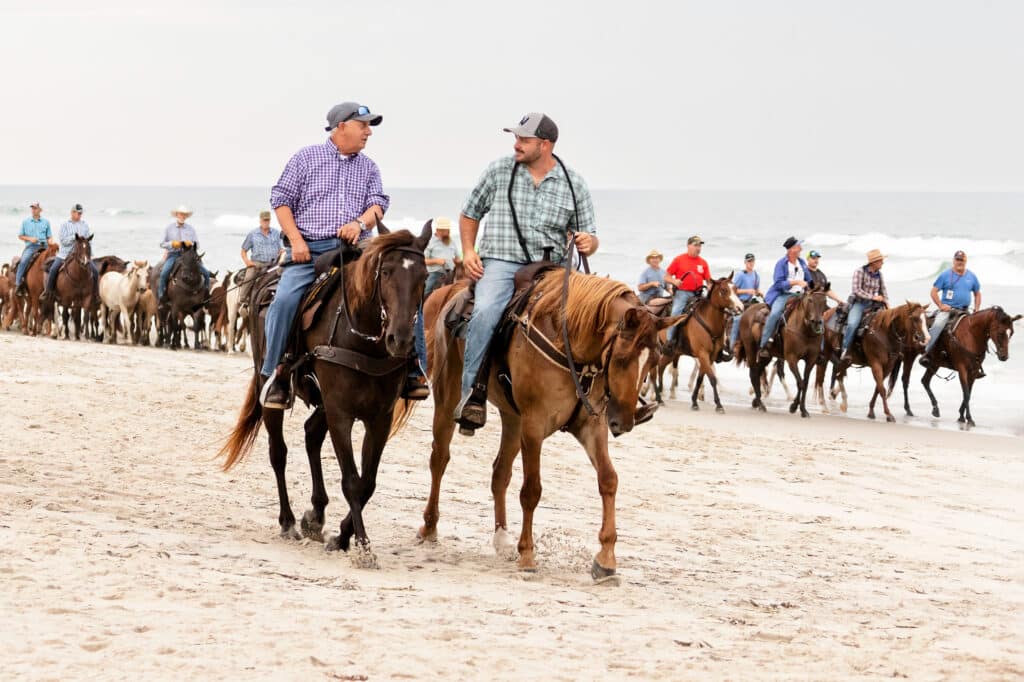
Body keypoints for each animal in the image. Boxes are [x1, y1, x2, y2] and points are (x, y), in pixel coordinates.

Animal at [222, 224, 430, 561]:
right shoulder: (341, 413)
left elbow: (367, 482)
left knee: (310, 435)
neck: (363, 340)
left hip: (323, 406)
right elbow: (351, 481)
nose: (400, 340)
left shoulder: (379, 418)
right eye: (385, 271)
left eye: (424, 276)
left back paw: (315, 517)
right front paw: (362, 546)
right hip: (270, 387)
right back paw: (288, 521)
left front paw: (343, 537)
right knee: (278, 452)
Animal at [419, 268, 675, 577]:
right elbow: (532, 490)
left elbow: (608, 479)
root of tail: (453, 294)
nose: (625, 422)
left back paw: (502, 538)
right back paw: (429, 526)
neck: (572, 346)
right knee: (439, 459)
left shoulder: (591, 426)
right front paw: (528, 554)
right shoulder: (534, 426)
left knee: (500, 473)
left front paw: (606, 558)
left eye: (655, 360)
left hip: (513, 419)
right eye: (623, 358)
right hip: (448, 398)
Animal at [651, 274, 741, 411]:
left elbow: (700, 378)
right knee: (656, 370)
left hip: (672, 353)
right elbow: (712, 378)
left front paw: (694, 402)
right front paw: (719, 405)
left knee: (660, 367)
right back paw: (658, 396)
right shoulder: (702, 354)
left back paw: (660, 394)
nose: (740, 307)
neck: (709, 321)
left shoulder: (710, 357)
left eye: (735, 288)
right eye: (723, 290)